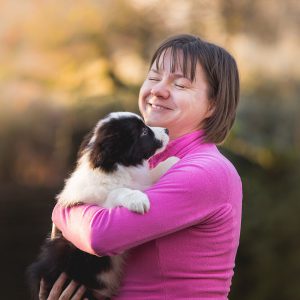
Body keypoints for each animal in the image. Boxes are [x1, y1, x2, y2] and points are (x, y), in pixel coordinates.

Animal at [27, 112, 177, 300]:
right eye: (143, 132)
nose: (167, 130)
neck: (118, 168)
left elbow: (149, 176)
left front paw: (172, 161)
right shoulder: (97, 206)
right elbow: (118, 191)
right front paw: (137, 199)